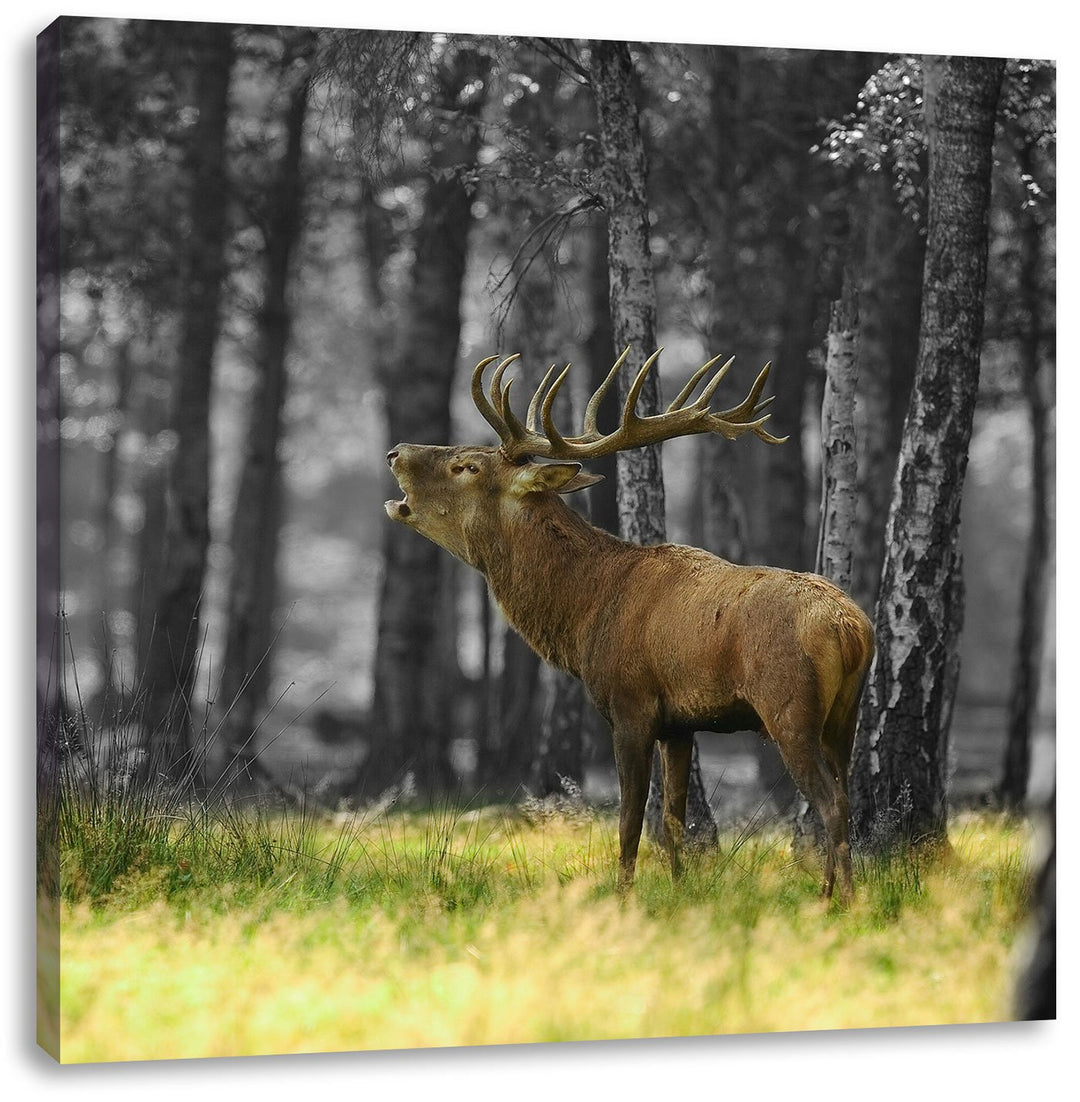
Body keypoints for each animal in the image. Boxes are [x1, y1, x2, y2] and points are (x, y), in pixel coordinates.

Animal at [384, 349, 874, 903]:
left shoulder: (629, 704)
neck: (584, 615)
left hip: (789, 706)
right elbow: (674, 819)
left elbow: (629, 821)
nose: (396, 451)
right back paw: (831, 892)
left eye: (465, 465)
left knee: (831, 801)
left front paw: (624, 896)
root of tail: (852, 629)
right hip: (845, 715)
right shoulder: (681, 724)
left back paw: (841, 899)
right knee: (845, 794)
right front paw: (681, 890)